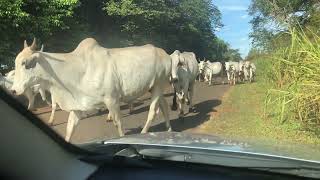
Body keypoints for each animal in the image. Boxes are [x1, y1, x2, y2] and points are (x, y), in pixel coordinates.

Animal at [11, 38, 175, 142]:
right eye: (15, 62)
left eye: (25, 63)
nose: (13, 90)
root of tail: (166, 55)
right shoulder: (77, 106)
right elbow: (70, 128)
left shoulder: (112, 99)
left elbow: (118, 123)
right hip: (155, 87)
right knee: (164, 106)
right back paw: (169, 130)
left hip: (158, 85)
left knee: (153, 111)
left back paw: (144, 133)